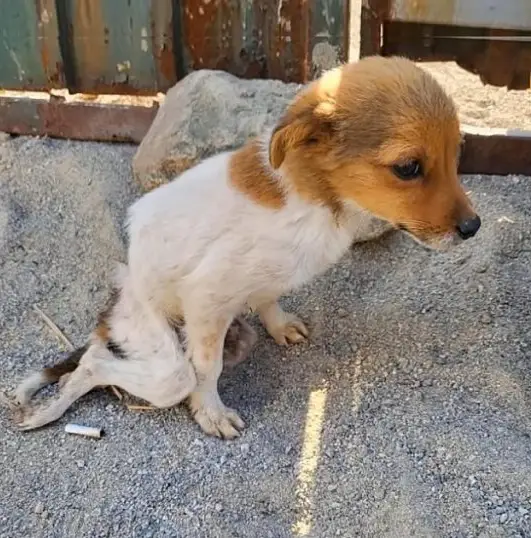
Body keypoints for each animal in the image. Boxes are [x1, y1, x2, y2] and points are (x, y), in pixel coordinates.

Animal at [7, 56, 482, 438]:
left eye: (457, 154)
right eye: (408, 167)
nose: (474, 227)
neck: (313, 195)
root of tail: (113, 309)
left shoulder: (262, 280)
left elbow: (269, 297)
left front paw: (279, 324)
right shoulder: (207, 297)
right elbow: (205, 369)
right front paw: (211, 413)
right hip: (158, 356)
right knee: (99, 364)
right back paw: (49, 409)